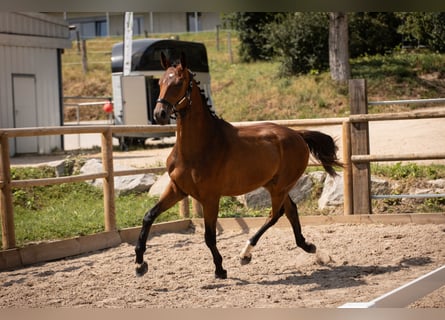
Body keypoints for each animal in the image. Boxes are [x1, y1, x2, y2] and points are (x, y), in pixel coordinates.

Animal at [134, 52, 342, 278]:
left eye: (179, 83)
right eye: (160, 82)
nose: (159, 114)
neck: (198, 146)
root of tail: (298, 135)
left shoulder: (210, 198)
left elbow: (209, 236)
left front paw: (220, 269)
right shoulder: (177, 189)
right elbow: (148, 217)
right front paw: (139, 264)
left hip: (279, 187)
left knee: (275, 214)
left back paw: (246, 253)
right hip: (274, 184)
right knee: (290, 210)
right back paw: (307, 246)